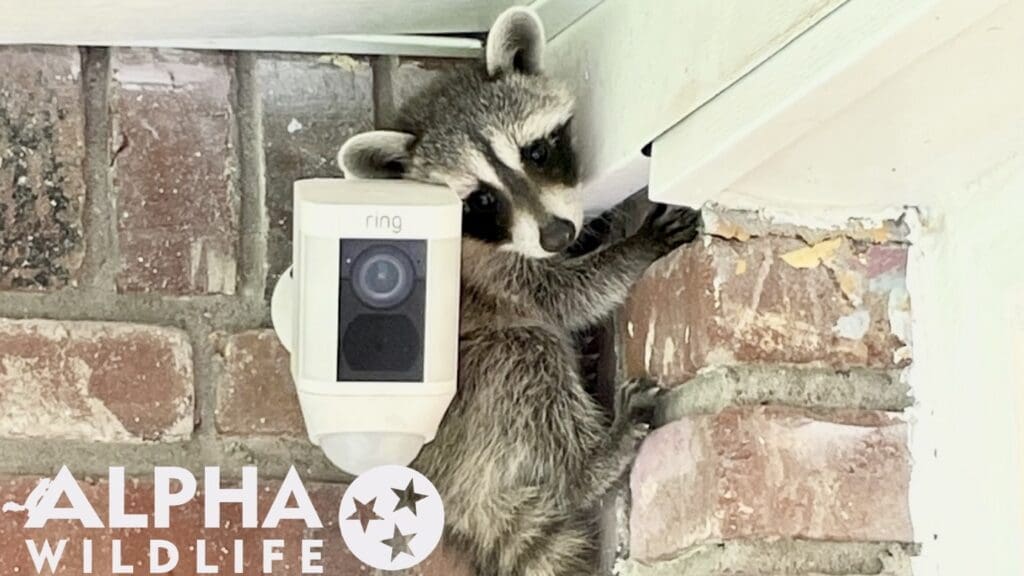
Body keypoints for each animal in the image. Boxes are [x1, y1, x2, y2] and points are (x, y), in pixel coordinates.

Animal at [338, 8, 701, 575]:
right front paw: (633, 249)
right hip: (463, 397)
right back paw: (591, 463)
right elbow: (565, 296)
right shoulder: (484, 270)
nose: (558, 236)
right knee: (527, 354)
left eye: (536, 151)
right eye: (481, 199)